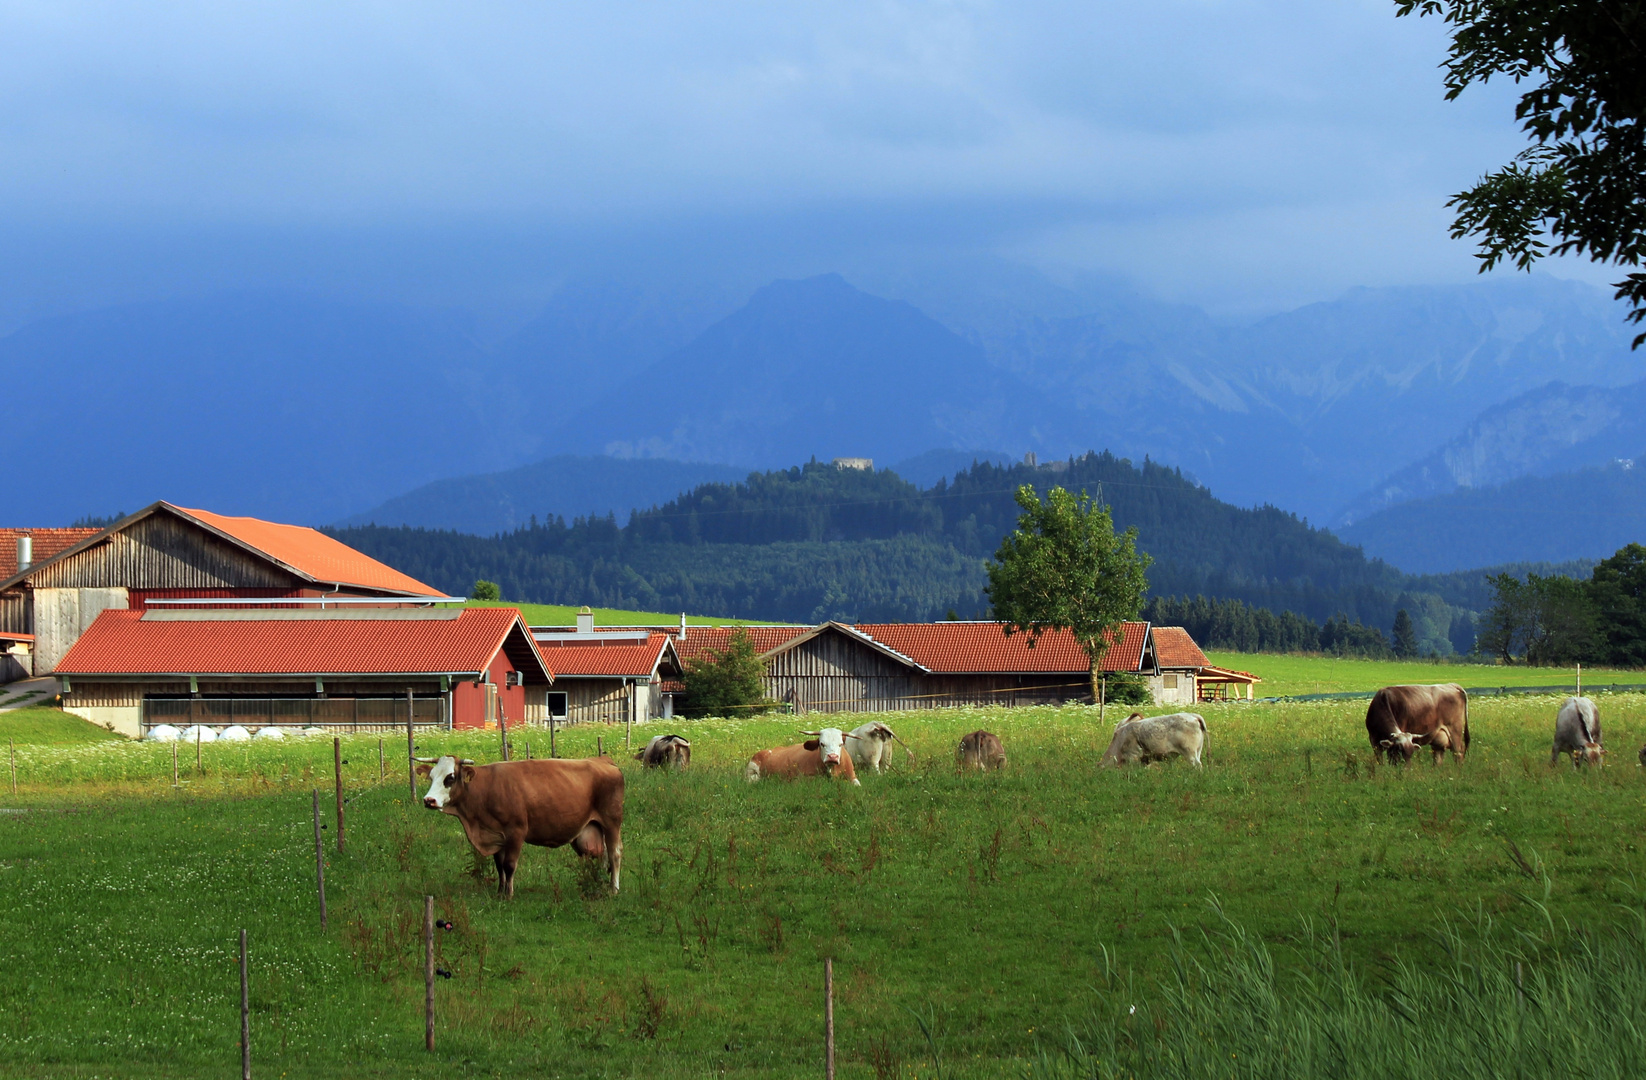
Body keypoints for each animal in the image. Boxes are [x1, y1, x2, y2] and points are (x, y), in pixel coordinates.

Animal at [421, 754, 625, 895]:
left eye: (450, 777)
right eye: (431, 777)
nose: (428, 800)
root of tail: (602, 760)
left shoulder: (516, 832)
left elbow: (509, 865)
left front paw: (509, 894)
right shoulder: (497, 835)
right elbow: (499, 865)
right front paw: (500, 892)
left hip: (611, 822)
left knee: (614, 853)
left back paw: (614, 889)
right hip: (590, 829)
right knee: (600, 857)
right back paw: (597, 884)